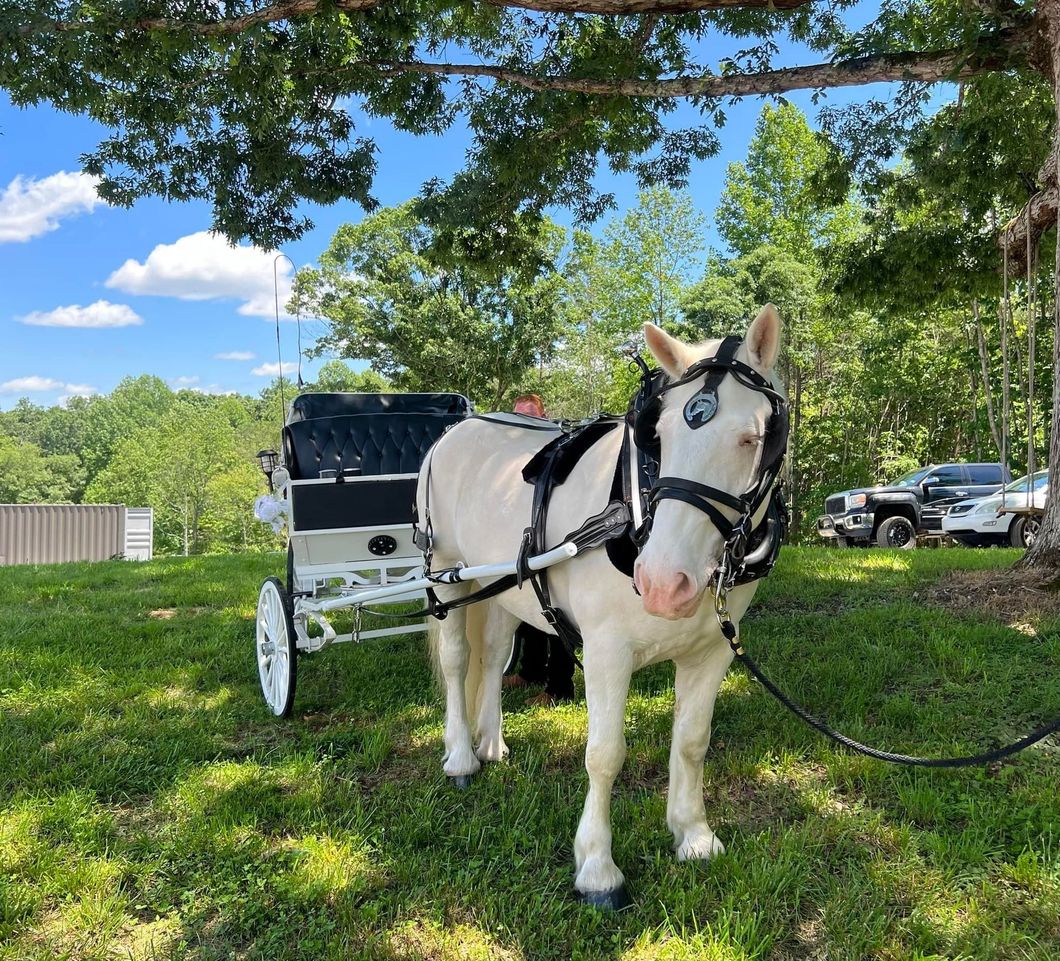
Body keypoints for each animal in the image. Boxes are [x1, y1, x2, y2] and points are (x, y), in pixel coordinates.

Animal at [416, 305, 784, 909]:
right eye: (659, 435)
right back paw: (461, 757)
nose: (662, 583)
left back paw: (490, 742)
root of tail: (456, 431)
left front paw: (693, 834)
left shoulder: (711, 652)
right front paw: (597, 868)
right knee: (455, 661)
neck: (633, 508)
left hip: (501, 583)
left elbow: (692, 742)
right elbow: (605, 754)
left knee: (490, 657)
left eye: (752, 438)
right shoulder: (607, 651)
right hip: (445, 569)